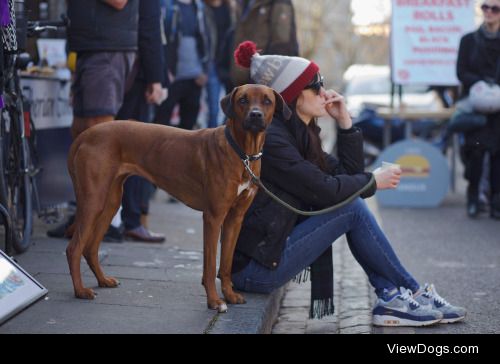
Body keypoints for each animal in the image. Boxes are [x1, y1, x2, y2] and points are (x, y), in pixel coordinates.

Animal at [64, 84, 292, 312]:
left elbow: (226, 263)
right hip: (93, 200)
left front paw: (229, 294)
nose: (255, 115)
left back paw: (102, 280)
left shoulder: (235, 218)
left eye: (267, 101)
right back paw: (80, 290)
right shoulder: (213, 217)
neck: (243, 153)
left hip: (110, 201)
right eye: (243, 100)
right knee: (74, 248)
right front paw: (214, 300)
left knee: (90, 248)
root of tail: (85, 135)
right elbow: (210, 265)